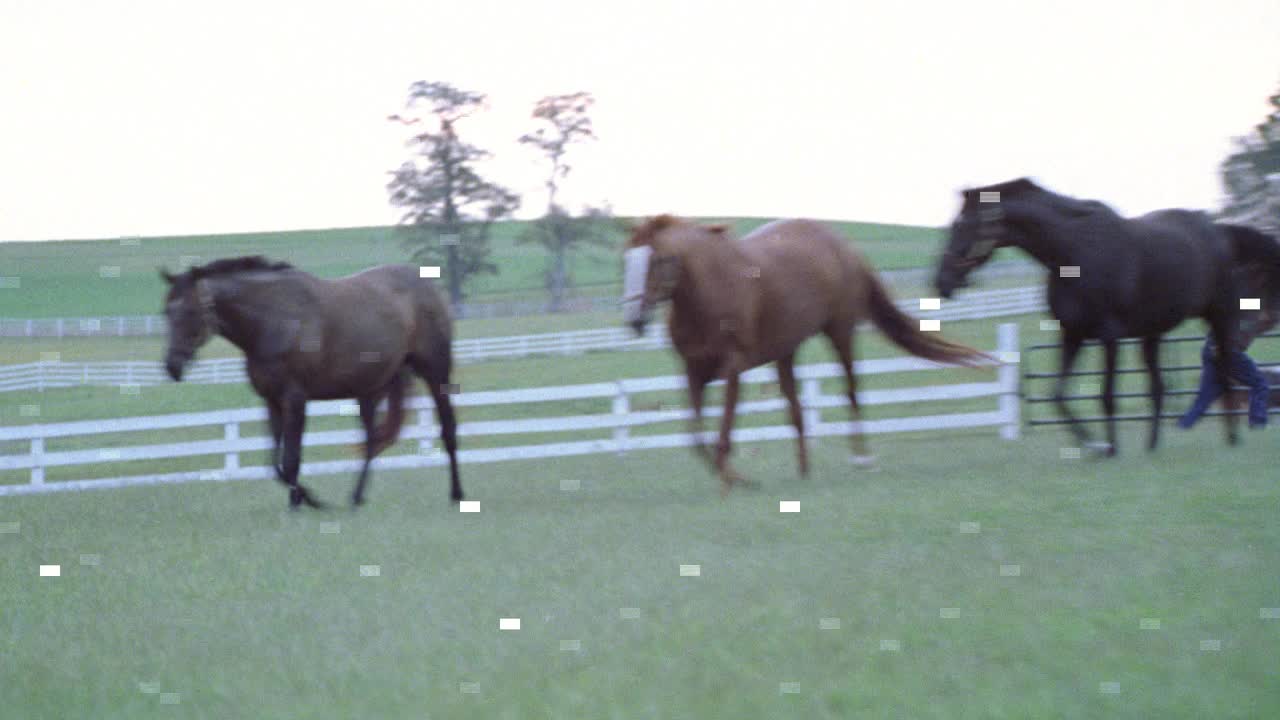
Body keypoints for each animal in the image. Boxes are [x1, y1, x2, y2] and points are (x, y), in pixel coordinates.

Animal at [158, 254, 460, 507]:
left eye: (190, 311)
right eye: (167, 312)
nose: (172, 367)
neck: (274, 320)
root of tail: (430, 286)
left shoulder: (295, 400)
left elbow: (291, 460)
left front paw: (304, 502)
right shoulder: (272, 402)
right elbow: (275, 463)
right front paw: (303, 498)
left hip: (436, 375)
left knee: (447, 430)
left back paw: (456, 493)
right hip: (371, 389)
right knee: (371, 440)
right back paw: (356, 498)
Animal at [619, 212, 988, 491]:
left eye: (658, 260)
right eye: (627, 261)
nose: (634, 321)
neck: (709, 291)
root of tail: (844, 246)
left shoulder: (733, 368)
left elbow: (723, 434)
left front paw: (734, 481)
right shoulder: (693, 372)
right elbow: (695, 438)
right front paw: (736, 478)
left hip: (840, 333)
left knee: (851, 391)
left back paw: (862, 459)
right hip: (787, 350)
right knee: (796, 410)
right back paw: (803, 472)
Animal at [931, 175, 1280, 450]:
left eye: (962, 224)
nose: (941, 281)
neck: (1073, 253)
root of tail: (1219, 231)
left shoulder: (1108, 337)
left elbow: (1107, 397)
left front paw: (1110, 448)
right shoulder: (1072, 335)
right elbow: (1058, 395)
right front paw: (1092, 444)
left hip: (1218, 318)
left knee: (1222, 376)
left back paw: (1231, 439)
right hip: (1152, 335)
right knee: (1160, 387)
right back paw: (1153, 446)